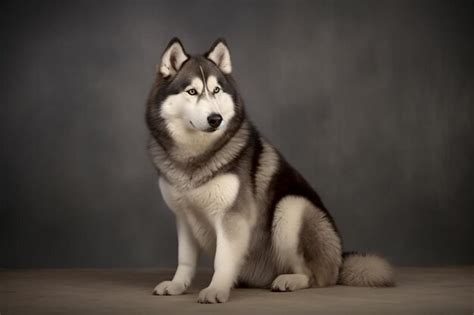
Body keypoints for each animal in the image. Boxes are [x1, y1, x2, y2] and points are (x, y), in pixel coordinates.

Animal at [145, 38, 392, 304]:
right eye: (191, 91)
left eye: (216, 90)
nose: (215, 119)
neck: (196, 155)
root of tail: (339, 260)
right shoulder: (184, 217)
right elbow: (185, 260)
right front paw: (177, 285)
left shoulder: (233, 217)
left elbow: (223, 259)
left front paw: (216, 289)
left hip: (291, 208)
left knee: (314, 276)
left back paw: (290, 280)